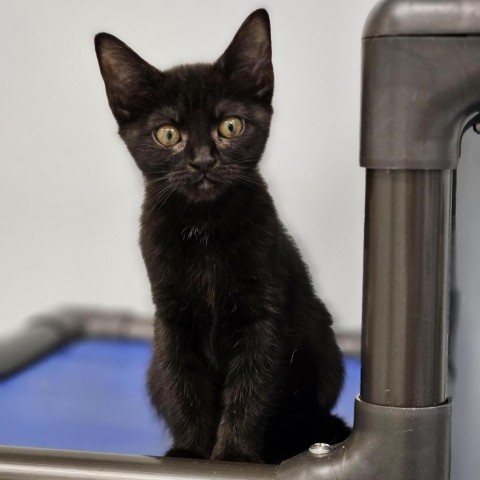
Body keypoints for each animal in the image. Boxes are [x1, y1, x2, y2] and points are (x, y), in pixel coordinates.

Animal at [94, 9, 348, 464]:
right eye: (168, 134)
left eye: (230, 126)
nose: (202, 162)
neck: (204, 230)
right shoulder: (172, 318)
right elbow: (185, 386)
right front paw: (191, 454)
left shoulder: (262, 315)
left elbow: (251, 387)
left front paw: (233, 457)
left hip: (323, 345)